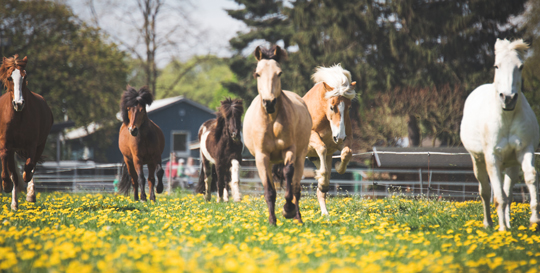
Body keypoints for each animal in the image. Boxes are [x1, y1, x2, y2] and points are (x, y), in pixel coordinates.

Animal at [0, 54, 53, 209]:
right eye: (9, 77)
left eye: (25, 76)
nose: (18, 103)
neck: (18, 116)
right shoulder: (6, 143)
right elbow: (7, 164)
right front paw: (6, 185)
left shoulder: (32, 144)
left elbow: (29, 166)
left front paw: (29, 191)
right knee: (14, 173)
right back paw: (14, 204)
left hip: (40, 144)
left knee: (32, 165)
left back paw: (30, 193)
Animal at [242, 45, 310, 224]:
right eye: (257, 74)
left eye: (279, 73)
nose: (269, 103)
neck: (271, 121)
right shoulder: (262, 157)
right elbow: (269, 191)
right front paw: (272, 221)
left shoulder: (289, 150)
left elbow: (288, 176)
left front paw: (288, 210)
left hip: (301, 156)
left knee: (296, 188)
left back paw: (298, 218)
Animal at [304, 64, 354, 215]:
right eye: (332, 107)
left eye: (349, 107)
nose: (339, 137)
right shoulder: (312, 138)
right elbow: (322, 148)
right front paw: (322, 180)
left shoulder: (342, 140)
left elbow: (347, 153)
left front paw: (336, 169)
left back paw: (325, 213)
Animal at [460, 37, 540, 230]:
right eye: (497, 66)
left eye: (521, 66)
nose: (508, 98)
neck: (507, 117)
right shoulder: (492, 158)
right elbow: (497, 197)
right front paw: (502, 229)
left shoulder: (525, 151)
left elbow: (530, 177)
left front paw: (534, 220)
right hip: (478, 161)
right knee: (485, 191)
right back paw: (489, 223)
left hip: (511, 166)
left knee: (508, 193)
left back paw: (509, 225)